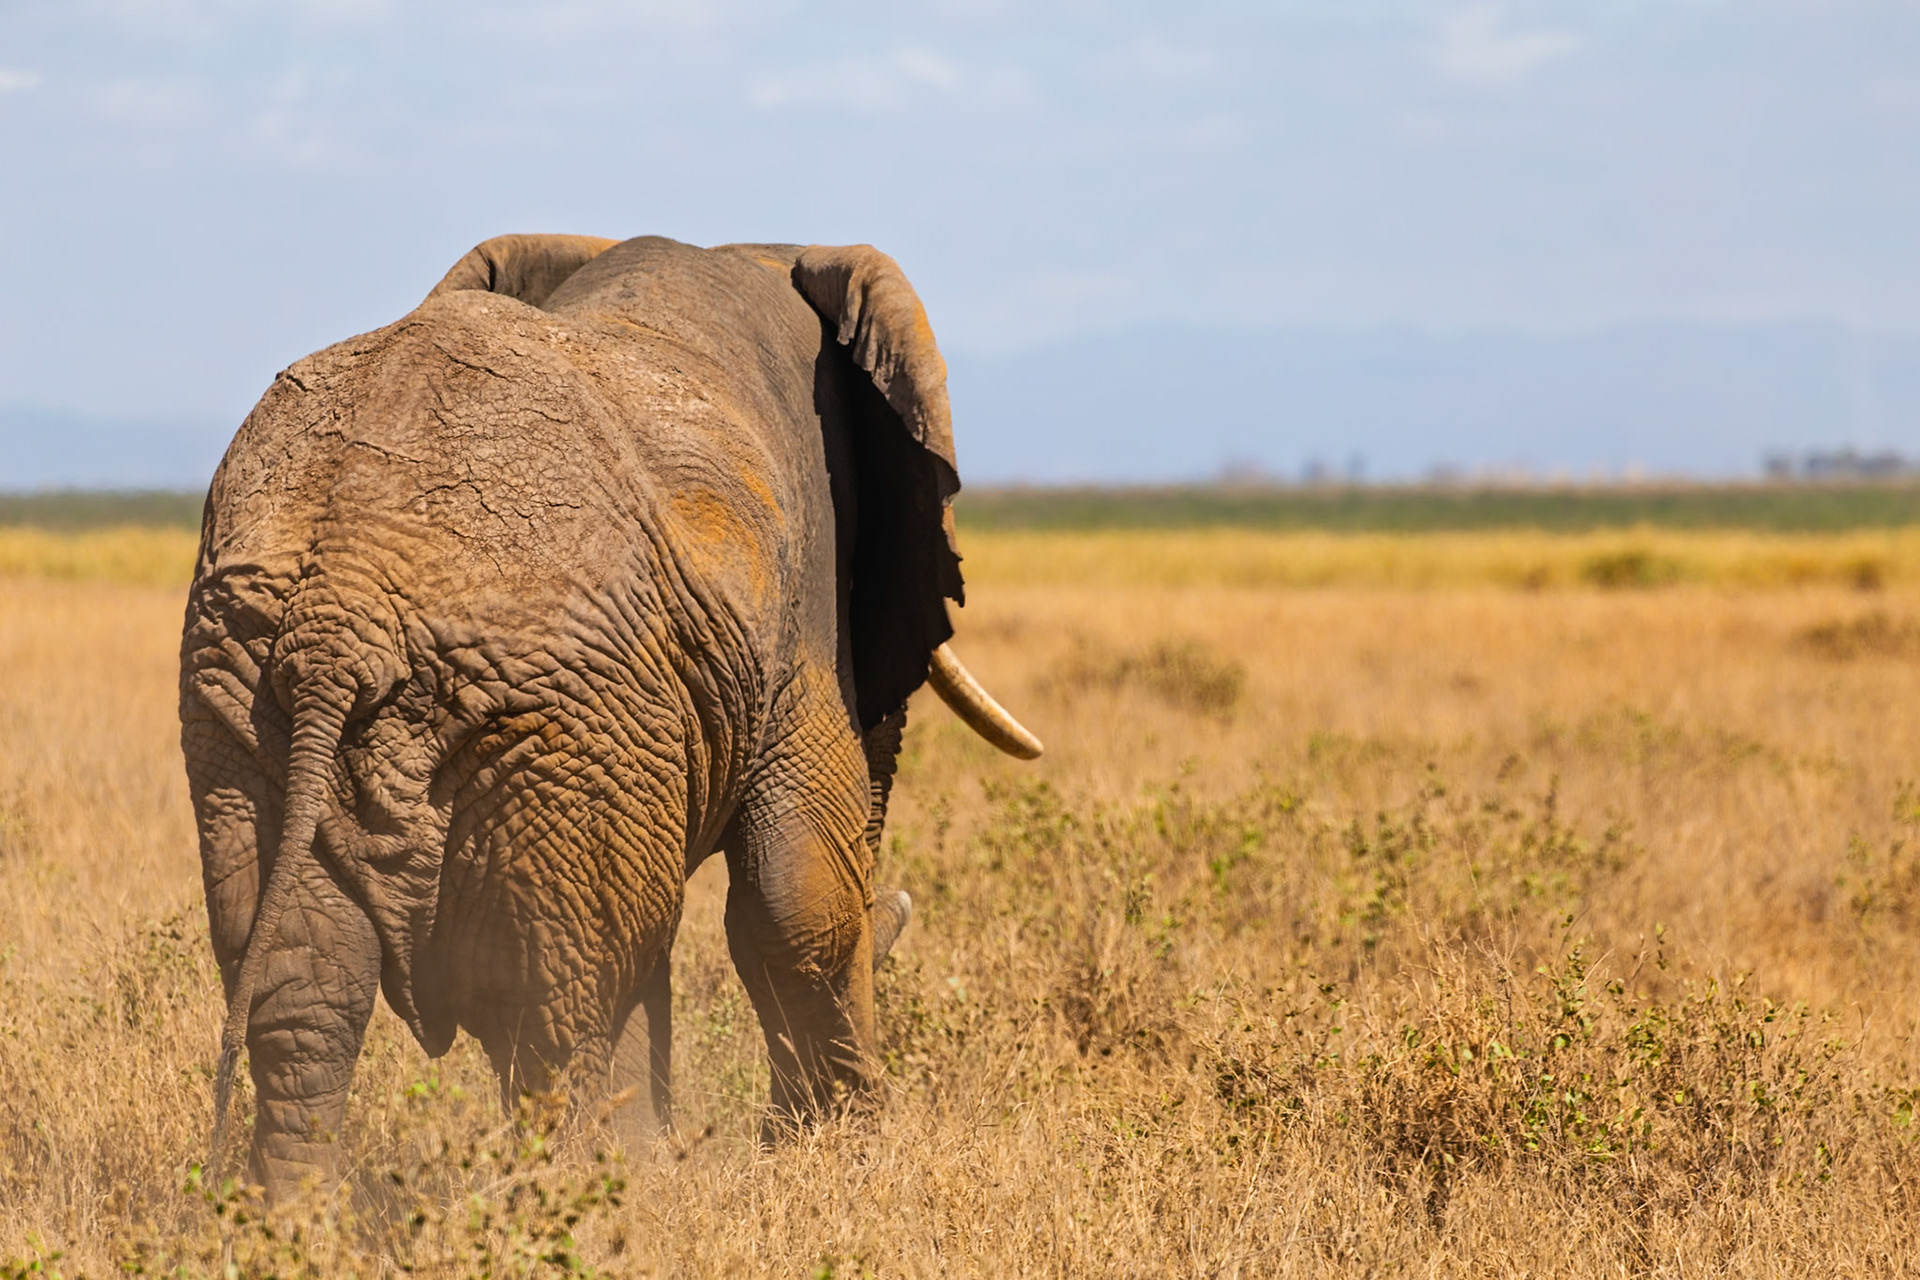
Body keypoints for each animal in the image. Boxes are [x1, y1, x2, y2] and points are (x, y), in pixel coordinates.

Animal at [177, 233, 1042, 1199]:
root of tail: (338, 611)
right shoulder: (800, 610)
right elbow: (798, 896)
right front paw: (846, 1154)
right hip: (554, 719)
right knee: (555, 1000)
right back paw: (584, 1204)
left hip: (245, 693)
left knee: (305, 989)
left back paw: (297, 1215)